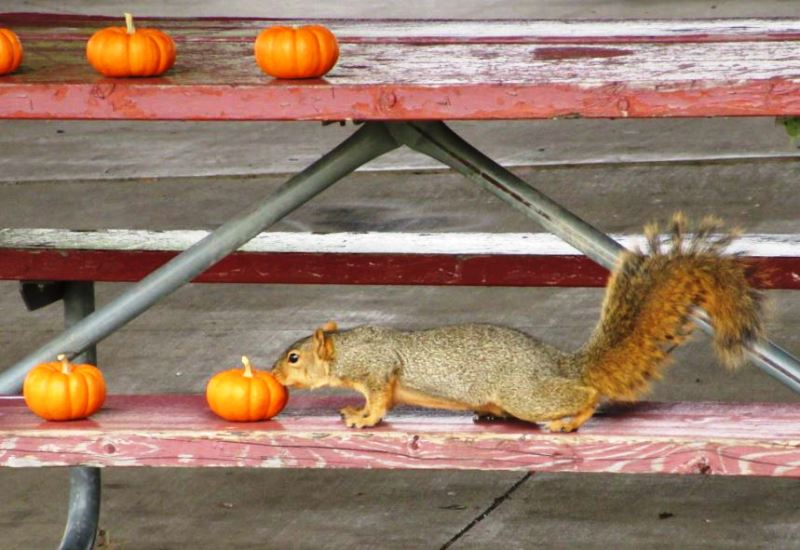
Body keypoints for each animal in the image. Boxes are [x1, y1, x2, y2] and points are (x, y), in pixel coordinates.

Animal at [271, 213, 765, 432]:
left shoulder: (377, 370)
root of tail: (561, 364)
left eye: (293, 357)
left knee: (584, 394)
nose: (273, 375)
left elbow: (379, 402)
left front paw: (361, 417)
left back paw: (569, 421)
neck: (349, 348)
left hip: (525, 393)